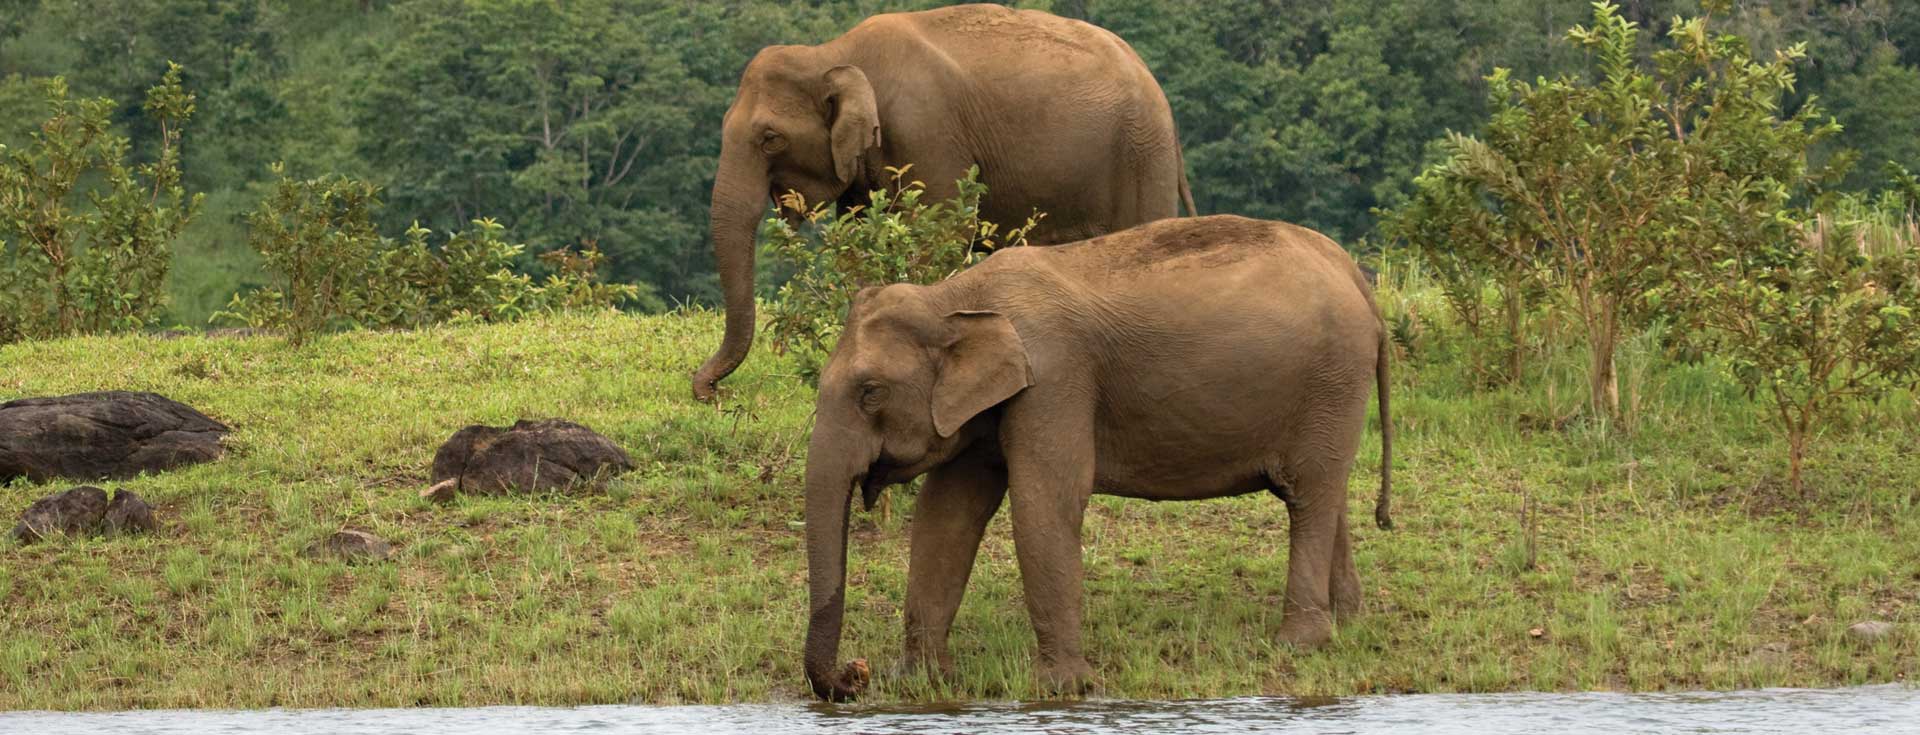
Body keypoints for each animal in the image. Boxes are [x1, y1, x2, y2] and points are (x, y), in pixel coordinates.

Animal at [692, 4, 1196, 401]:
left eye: (770, 138)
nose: (709, 391)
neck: (834, 53)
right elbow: (859, 240)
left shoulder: (926, 132)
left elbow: (944, 232)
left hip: (1139, 155)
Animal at [799, 214, 1394, 701]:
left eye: (869, 392)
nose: (856, 674)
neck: (953, 295)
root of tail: (1356, 277)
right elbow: (946, 514)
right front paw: (921, 682)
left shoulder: (1055, 377)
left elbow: (1047, 501)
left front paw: (1063, 688)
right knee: (1325, 493)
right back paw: (1347, 622)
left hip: (1333, 379)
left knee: (1309, 494)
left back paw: (1300, 643)